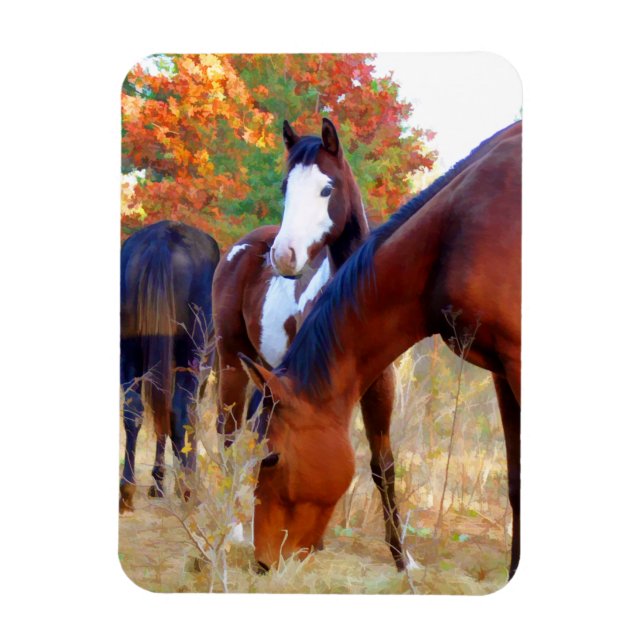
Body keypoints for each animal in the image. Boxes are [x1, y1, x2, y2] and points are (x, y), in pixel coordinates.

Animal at [120, 220, 220, 513]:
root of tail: (162, 240)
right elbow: (190, 414)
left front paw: (158, 482)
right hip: (191, 350)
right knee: (179, 410)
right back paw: (187, 488)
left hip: (129, 348)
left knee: (133, 410)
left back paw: (126, 490)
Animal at [212, 118, 406, 569]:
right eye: (286, 186)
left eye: (327, 188)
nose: (284, 256)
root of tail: (243, 247)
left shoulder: (377, 388)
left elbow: (382, 465)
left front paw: (402, 558)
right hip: (231, 361)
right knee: (227, 433)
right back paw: (232, 529)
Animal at [239, 121, 522, 579]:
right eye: (284, 188)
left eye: (273, 459)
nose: (264, 562)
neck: (454, 234)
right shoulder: (502, 368)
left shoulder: (512, 363)